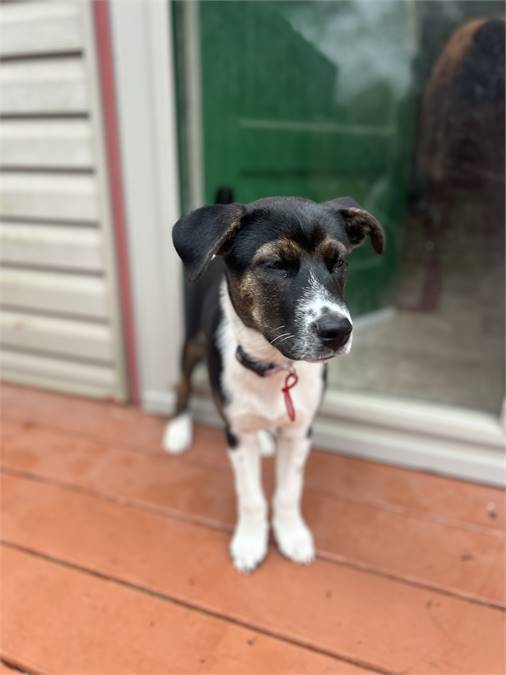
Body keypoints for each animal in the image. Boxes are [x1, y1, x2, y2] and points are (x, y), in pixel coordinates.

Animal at [163, 194, 384, 572]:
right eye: (275, 264)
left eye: (338, 262)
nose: (338, 331)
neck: (274, 364)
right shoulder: (237, 433)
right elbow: (251, 496)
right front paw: (250, 542)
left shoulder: (300, 431)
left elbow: (288, 491)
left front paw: (291, 535)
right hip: (192, 341)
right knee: (182, 383)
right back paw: (178, 428)